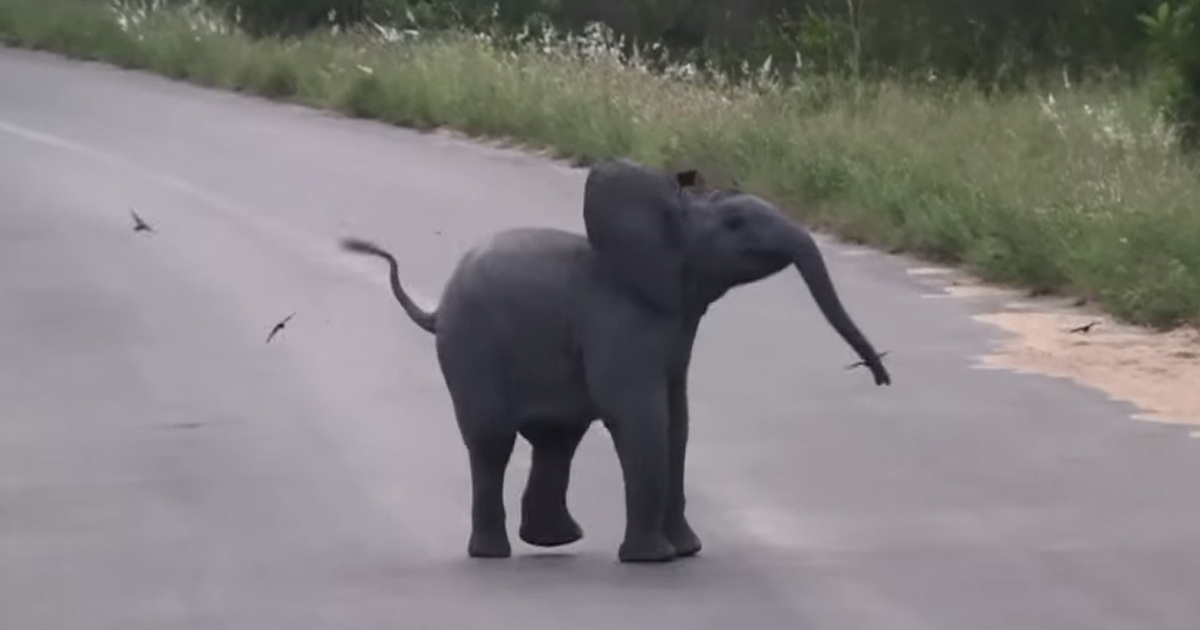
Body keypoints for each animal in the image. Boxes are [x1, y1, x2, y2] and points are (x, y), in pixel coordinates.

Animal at [340, 157, 891, 564]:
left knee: (557, 441)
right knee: (492, 443)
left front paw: (686, 551)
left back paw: (555, 541)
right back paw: (493, 554)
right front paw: (656, 559)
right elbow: (641, 415)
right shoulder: (621, 322)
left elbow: (678, 422)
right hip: (471, 349)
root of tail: (436, 310)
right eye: (736, 224)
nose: (881, 375)